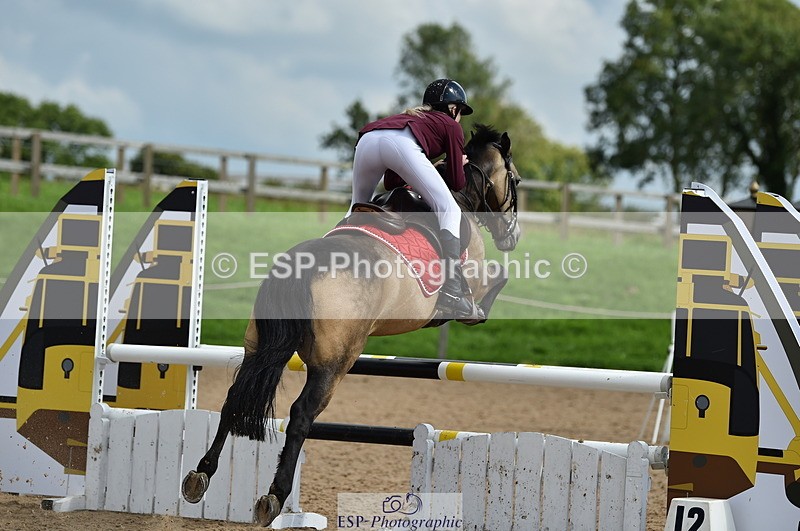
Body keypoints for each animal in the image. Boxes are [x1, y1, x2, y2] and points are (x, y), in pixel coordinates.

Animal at [181, 124, 522, 526]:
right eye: (516, 180)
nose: (513, 235)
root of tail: (303, 265)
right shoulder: (476, 278)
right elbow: (496, 280)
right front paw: (475, 306)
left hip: (260, 348)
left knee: (235, 398)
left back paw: (200, 475)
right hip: (334, 363)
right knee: (301, 415)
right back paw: (275, 496)